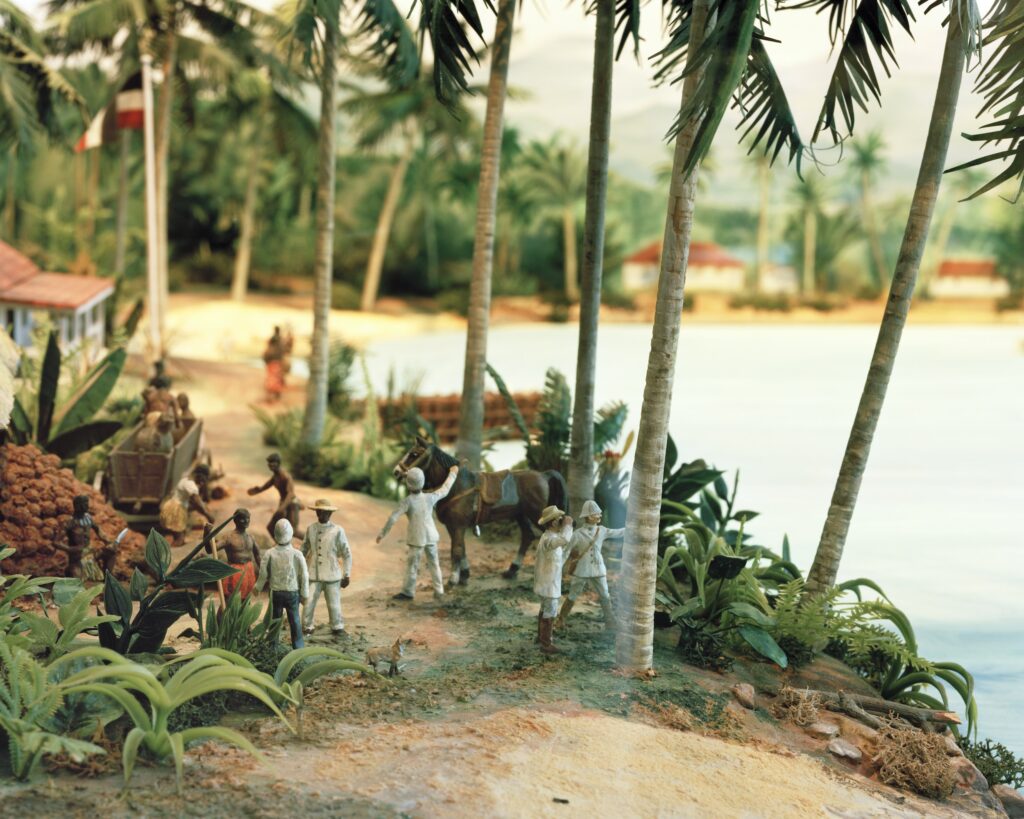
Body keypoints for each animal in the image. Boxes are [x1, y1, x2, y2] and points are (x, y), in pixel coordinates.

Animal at [391, 438, 569, 585]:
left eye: (414, 454)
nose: (396, 472)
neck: (457, 486)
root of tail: (544, 475)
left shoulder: (458, 526)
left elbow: (456, 549)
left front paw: (453, 580)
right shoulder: (453, 526)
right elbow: (461, 548)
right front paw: (464, 575)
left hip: (537, 515)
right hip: (521, 515)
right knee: (528, 536)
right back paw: (512, 570)